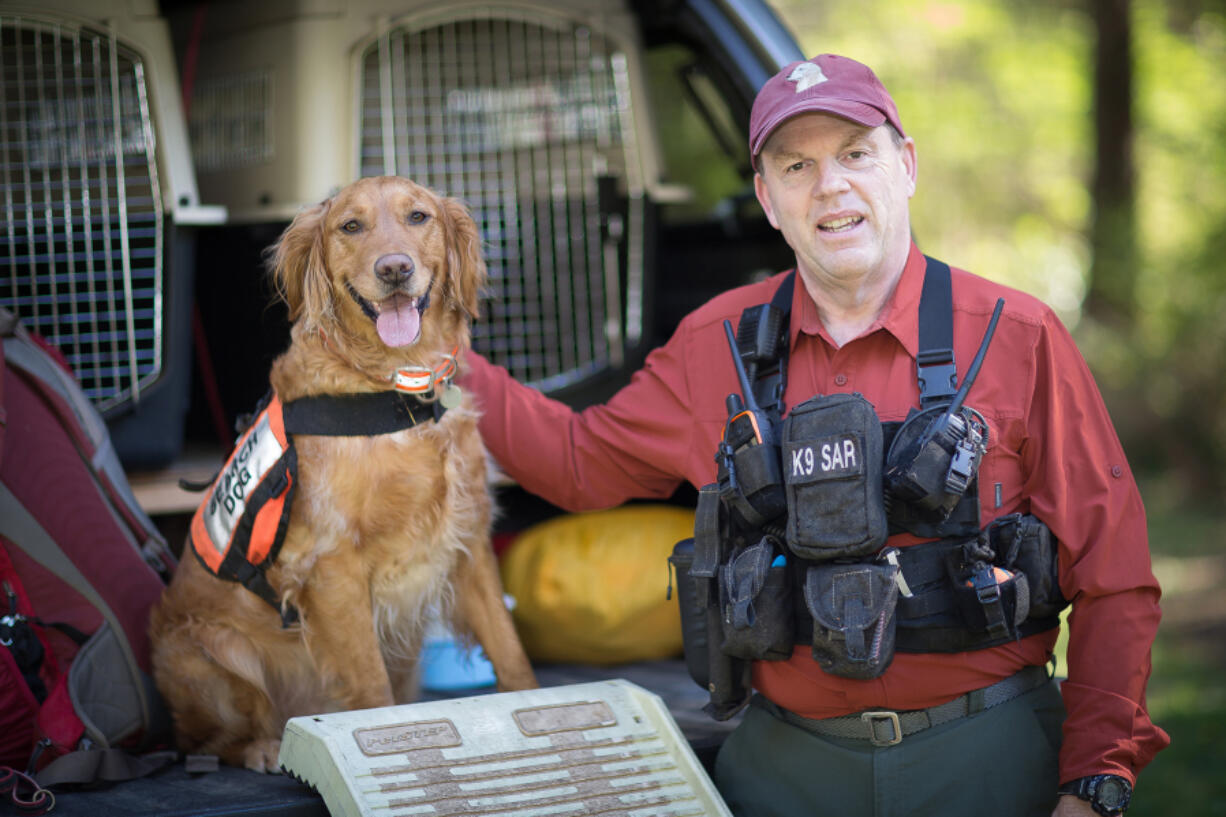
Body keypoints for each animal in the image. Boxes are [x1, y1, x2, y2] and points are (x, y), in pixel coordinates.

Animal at [148, 175, 536, 765]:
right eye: (350, 226)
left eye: (418, 217)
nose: (394, 268)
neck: (397, 393)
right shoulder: (332, 568)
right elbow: (371, 689)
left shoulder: (468, 545)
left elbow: (512, 655)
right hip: (209, 650)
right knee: (203, 742)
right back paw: (262, 749)